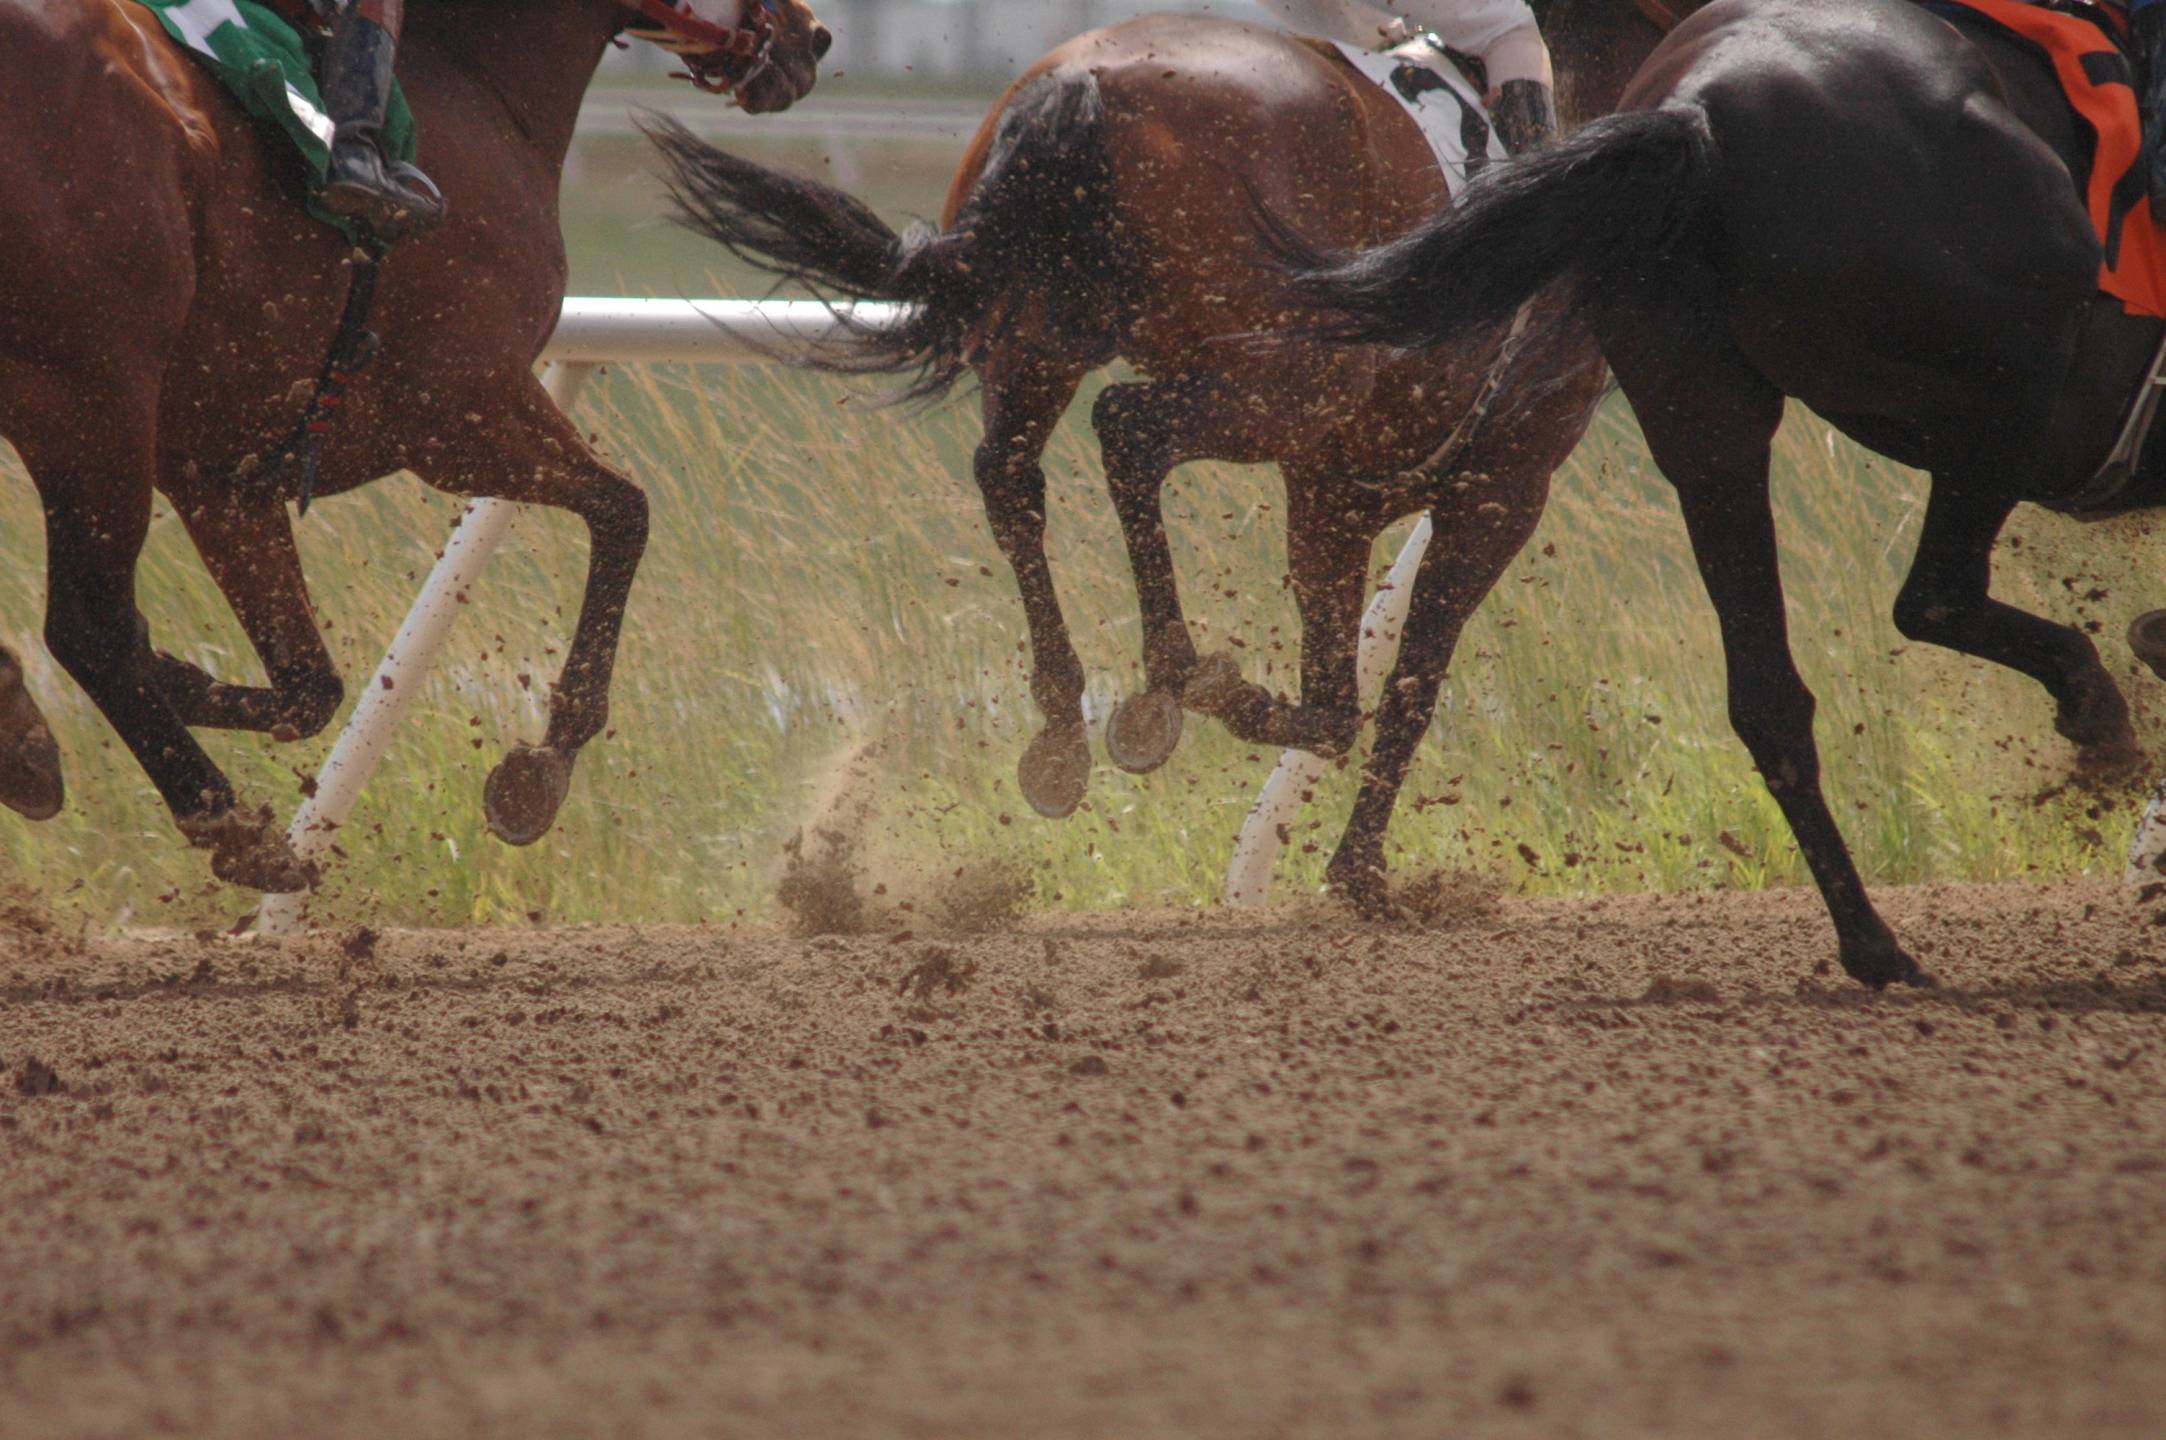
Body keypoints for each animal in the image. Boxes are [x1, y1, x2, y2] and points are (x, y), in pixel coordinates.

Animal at [0, 0, 827, 887]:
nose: (812, 35)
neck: (470, 77)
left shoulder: (223, 472)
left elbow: (309, 685)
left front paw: (172, 677)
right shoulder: (458, 412)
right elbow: (624, 511)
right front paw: (542, 767)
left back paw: (28, 733)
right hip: (91, 395)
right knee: (90, 626)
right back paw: (231, 826)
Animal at [641, 2, 1672, 909]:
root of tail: (1080, 87)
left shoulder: (1334, 485)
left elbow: (1341, 695)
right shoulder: (1497, 485)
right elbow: (1403, 688)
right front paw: (1360, 875)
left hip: (1040, 343)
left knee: (1010, 477)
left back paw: (1066, 726)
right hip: (1278, 377)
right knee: (1127, 430)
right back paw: (1174, 679)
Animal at [1264, 0, 2166, 983]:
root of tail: (1695, 113)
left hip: (1708, 429)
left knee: (1770, 699)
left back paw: (1872, 942)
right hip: (2009, 383)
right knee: (1936, 596)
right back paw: (2097, 725)